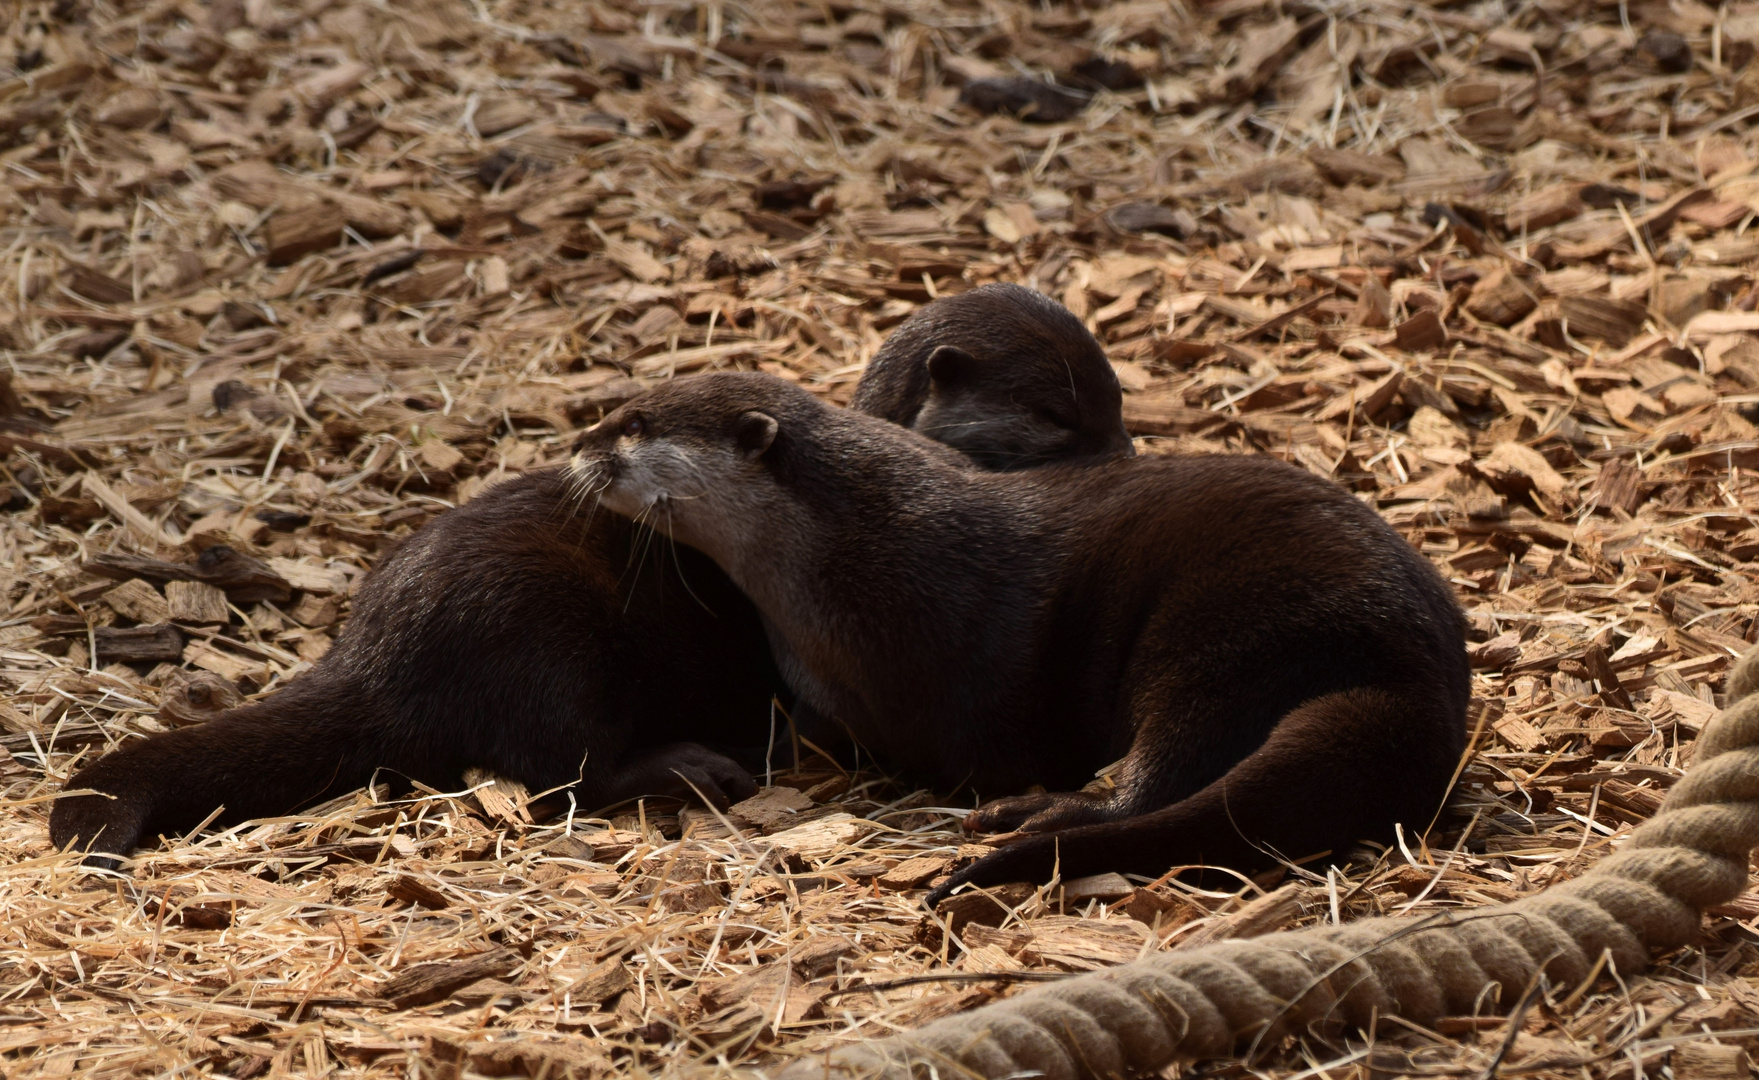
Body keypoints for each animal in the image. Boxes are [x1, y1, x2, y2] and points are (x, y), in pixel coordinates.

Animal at [58, 283, 1125, 868]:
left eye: (1113, 402)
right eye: (1059, 420)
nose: (1124, 455)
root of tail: (375, 652)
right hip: (545, 632)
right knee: (553, 773)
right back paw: (689, 767)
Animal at [573, 372, 1470, 907]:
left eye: (636, 422)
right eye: (619, 406)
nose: (579, 442)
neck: (851, 556)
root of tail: (1416, 671)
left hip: (1227, 636)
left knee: (1158, 773)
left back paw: (1023, 816)